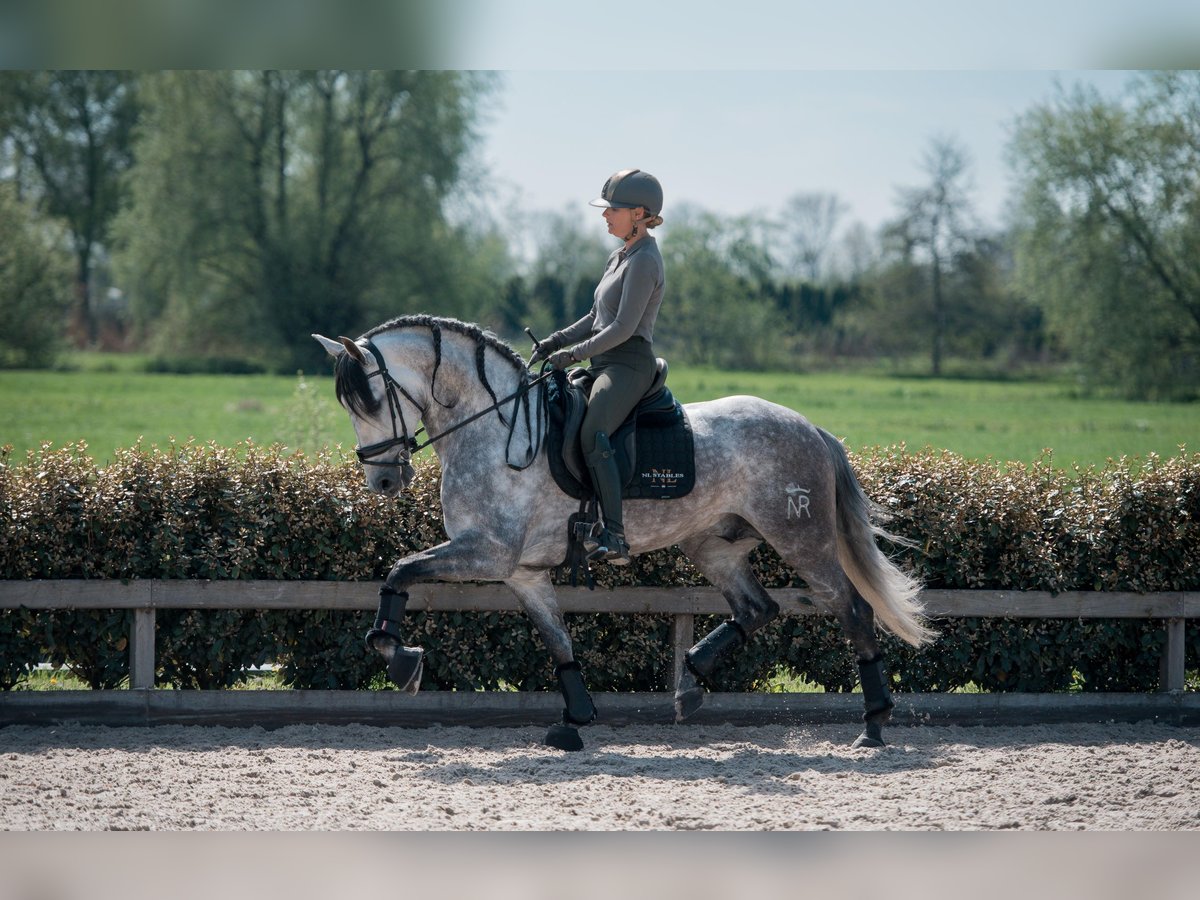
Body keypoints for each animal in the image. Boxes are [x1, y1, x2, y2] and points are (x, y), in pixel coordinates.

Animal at [314, 314, 934, 751]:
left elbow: (400, 570)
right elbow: (558, 642)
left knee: (852, 610)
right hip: (713, 544)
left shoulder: (487, 554)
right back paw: (690, 683)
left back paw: (874, 725)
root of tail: (811, 427)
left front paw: (397, 656)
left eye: (371, 398)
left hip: (800, 538)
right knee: (757, 608)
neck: (494, 427)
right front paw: (574, 720)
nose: (383, 480)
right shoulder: (522, 572)